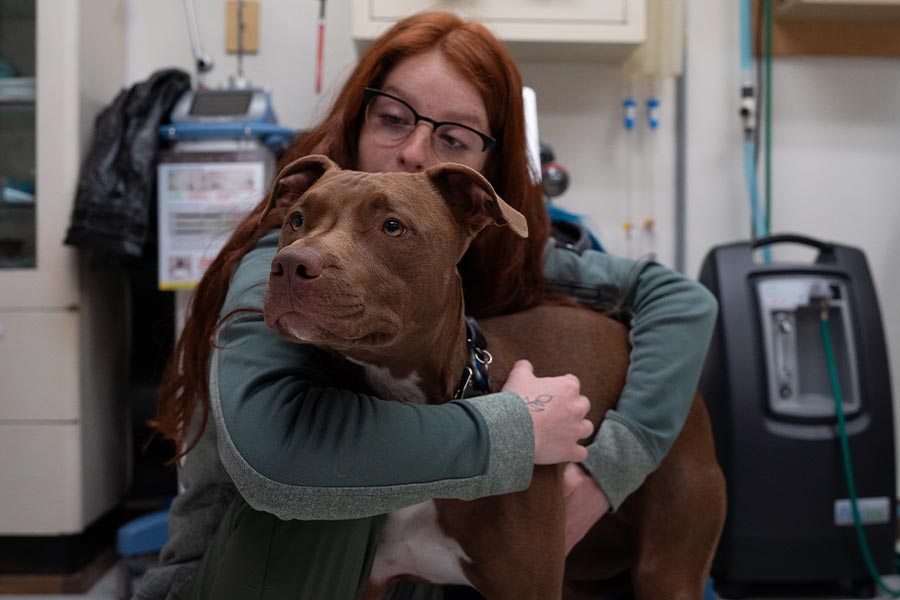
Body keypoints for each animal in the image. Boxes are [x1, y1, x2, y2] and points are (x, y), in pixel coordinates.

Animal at [258, 155, 724, 600]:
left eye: (392, 226)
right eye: (297, 219)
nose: (291, 264)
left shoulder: (530, 588)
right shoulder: (373, 583)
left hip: (667, 568)